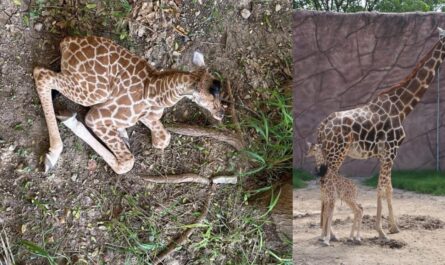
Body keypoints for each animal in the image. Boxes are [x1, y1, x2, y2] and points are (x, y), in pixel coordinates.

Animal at [33, 36, 224, 174]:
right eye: (209, 97)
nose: (221, 113)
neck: (155, 92)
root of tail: (66, 43)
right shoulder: (95, 118)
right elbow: (127, 162)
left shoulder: (149, 117)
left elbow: (163, 139)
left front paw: (124, 133)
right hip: (94, 92)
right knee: (41, 73)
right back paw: (52, 155)